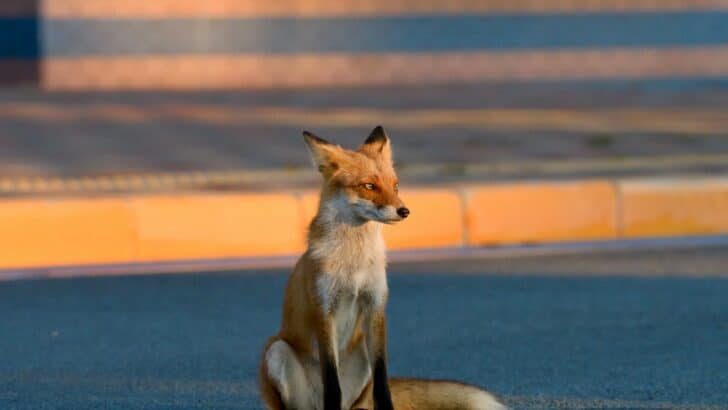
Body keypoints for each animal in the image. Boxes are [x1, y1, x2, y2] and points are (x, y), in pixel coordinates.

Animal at [259, 126, 506, 410]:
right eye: (369, 186)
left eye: (395, 185)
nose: (404, 211)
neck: (353, 265)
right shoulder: (324, 310)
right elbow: (332, 382)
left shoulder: (375, 306)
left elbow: (382, 381)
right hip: (276, 351)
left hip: (361, 360)